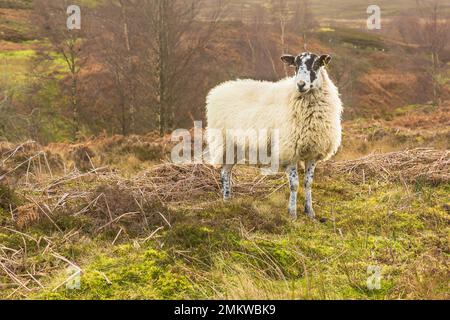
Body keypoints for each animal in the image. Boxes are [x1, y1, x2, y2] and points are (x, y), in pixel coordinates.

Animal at [206, 52, 342, 220]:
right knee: (224, 172)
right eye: (295, 66)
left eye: (316, 65)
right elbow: (294, 184)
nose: (300, 84)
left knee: (226, 171)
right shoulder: (289, 151)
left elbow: (308, 183)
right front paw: (292, 214)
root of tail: (219, 89)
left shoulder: (312, 153)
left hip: (237, 146)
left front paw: (310, 212)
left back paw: (228, 200)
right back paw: (226, 199)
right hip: (225, 143)